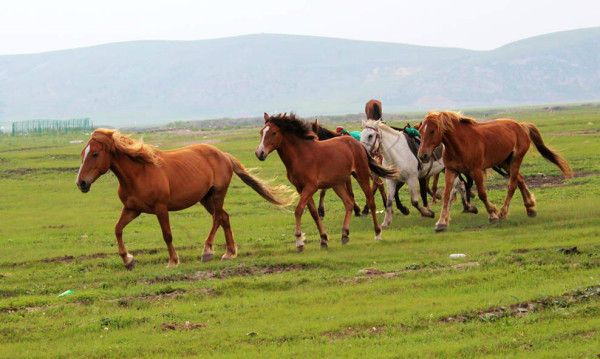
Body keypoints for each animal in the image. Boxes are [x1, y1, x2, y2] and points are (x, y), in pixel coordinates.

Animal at [76, 128, 292, 268]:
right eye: (82, 154)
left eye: (95, 154)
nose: (81, 183)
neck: (139, 173)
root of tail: (223, 154)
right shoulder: (132, 209)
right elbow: (118, 229)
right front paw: (128, 260)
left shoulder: (160, 208)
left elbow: (167, 235)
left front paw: (173, 261)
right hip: (206, 198)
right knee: (224, 217)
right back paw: (229, 253)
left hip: (217, 194)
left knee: (217, 218)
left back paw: (207, 251)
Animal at [254, 114, 398, 252]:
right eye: (261, 132)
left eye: (273, 133)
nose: (259, 153)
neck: (301, 156)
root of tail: (358, 144)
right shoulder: (301, 188)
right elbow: (314, 213)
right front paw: (323, 239)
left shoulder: (310, 187)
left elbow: (299, 210)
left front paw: (299, 242)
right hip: (337, 184)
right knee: (349, 203)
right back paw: (344, 234)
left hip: (361, 175)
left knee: (371, 200)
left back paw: (378, 233)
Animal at [418, 111, 572, 232]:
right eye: (420, 131)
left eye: (432, 131)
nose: (422, 155)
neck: (461, 144)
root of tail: (521, 125)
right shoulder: (451, 170)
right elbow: (446, 195)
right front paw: (441, 223)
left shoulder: (476, 170)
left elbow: (482, 193)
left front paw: (493, 214)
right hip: (505, 162)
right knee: (520, 180)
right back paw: (530, 208)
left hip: (516, 159)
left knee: (512, 185)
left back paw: (504, 213)